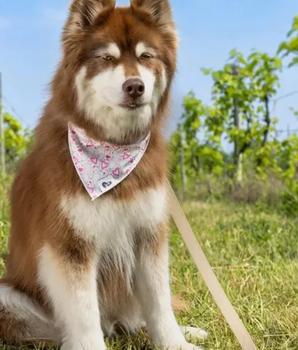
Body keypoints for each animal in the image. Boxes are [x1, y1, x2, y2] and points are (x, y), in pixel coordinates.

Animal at [0, 0, 205, 350]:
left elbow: (160, 303)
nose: (135, 87)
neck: (113, 152)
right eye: (106, 58)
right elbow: (84, 315)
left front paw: (175, 342)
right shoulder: (70, 243)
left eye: (146, 56)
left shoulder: (148, 234)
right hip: (9, 296)